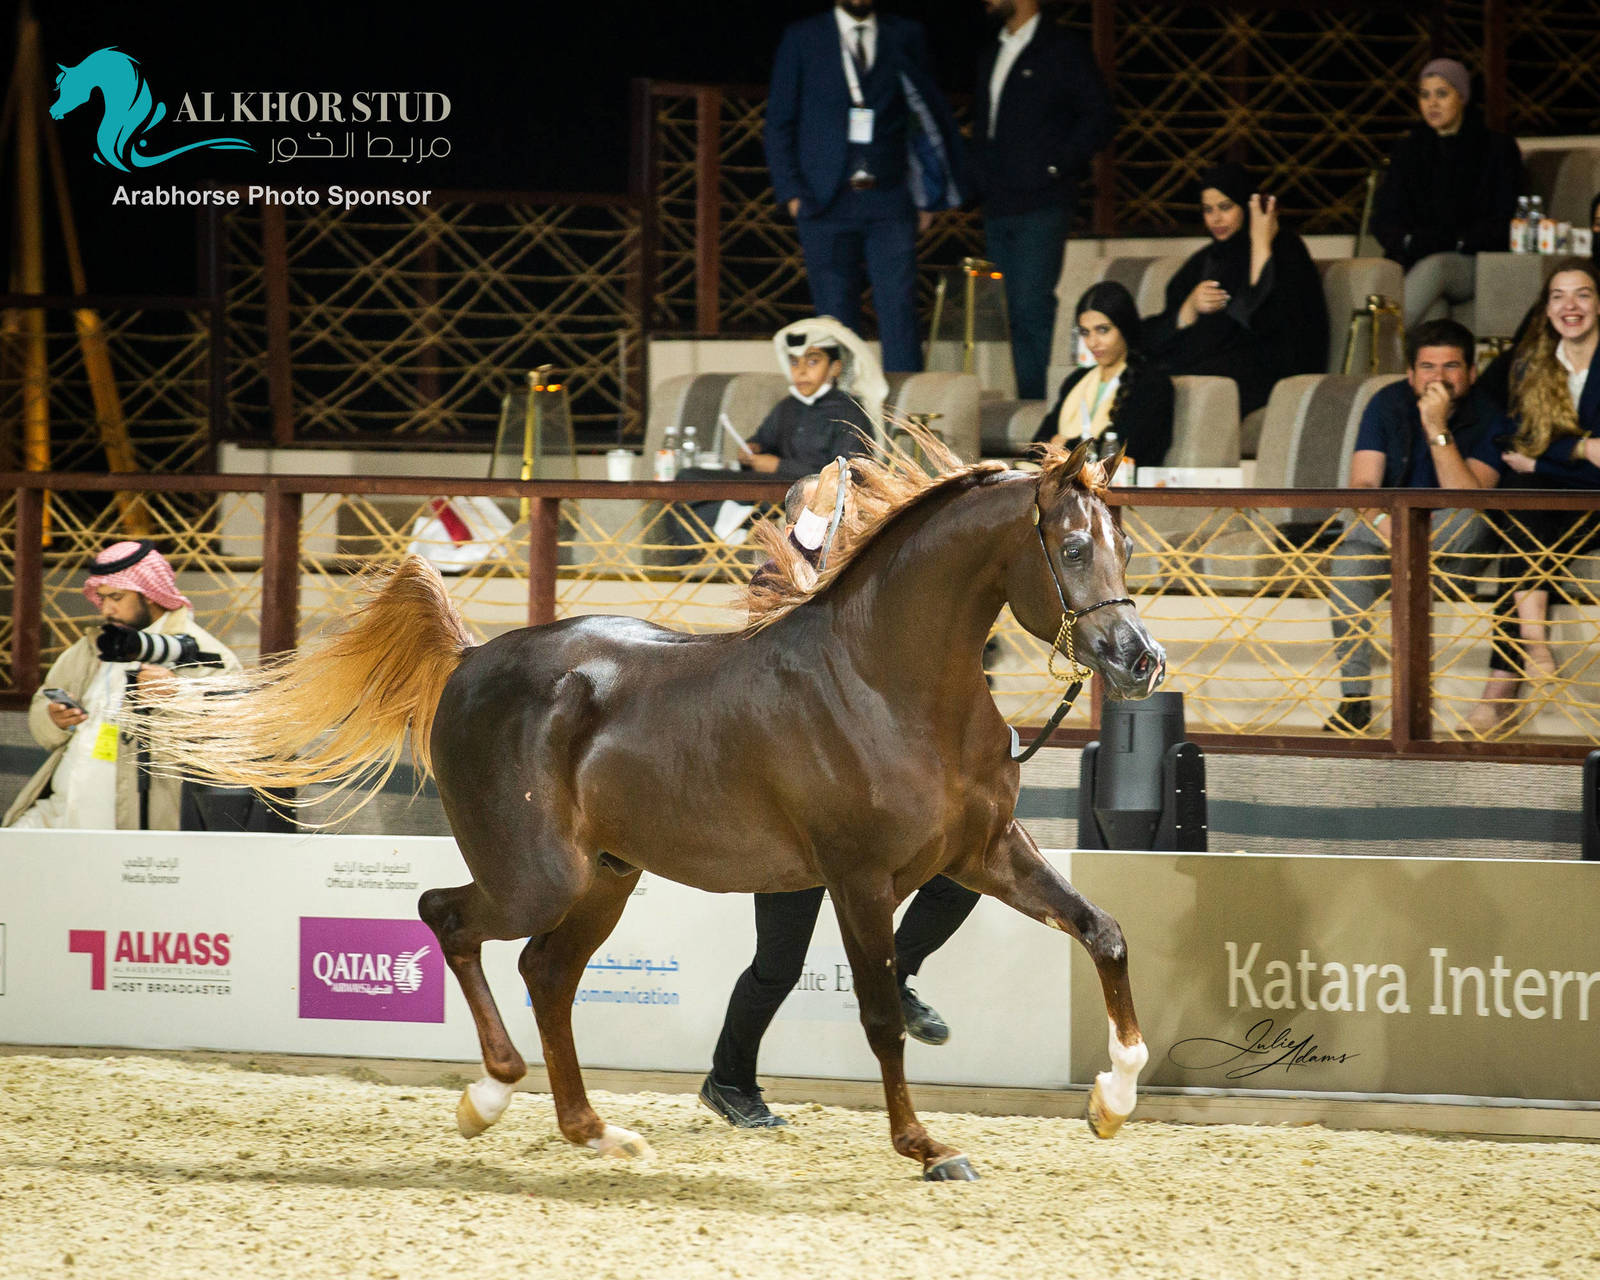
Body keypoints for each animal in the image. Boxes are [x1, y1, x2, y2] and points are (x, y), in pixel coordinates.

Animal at [144, 437, 1165, 1181]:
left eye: (1125, 545)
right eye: (1073, 547)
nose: (1139, 659)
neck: (890, 685)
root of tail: (470, 660)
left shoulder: (983, 851)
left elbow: (1106, 931)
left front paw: (1112, 1100)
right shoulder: (859, 878)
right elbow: (879, 1013)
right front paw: (929, 1149)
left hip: (606, 877)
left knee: (547, 972)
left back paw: (596, 1132)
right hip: (536, 874)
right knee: (451, 919)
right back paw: (490, 1096)